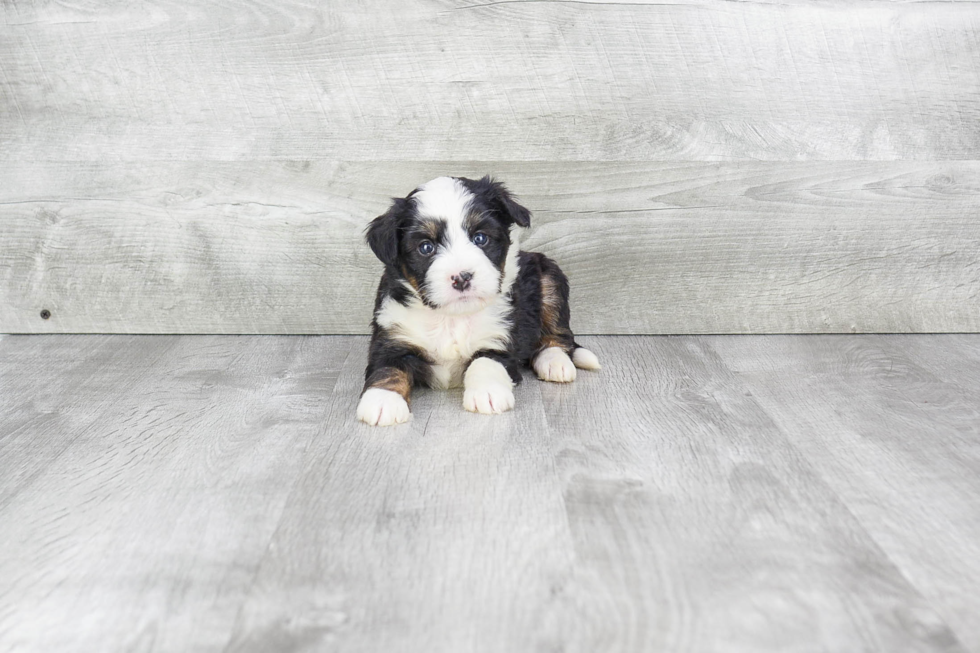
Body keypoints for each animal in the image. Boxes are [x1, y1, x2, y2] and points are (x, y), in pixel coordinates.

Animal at [352, 176, 596, 426]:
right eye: (426, 247)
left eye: (480, 238)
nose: (462, 277)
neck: (451, 318)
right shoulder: (392, 335)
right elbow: (387, 368)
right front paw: (383, 401)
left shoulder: (500, 337)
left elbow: (485, 361)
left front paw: (488, 393)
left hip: (549, 278)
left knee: (558, 335)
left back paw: (555, 362)